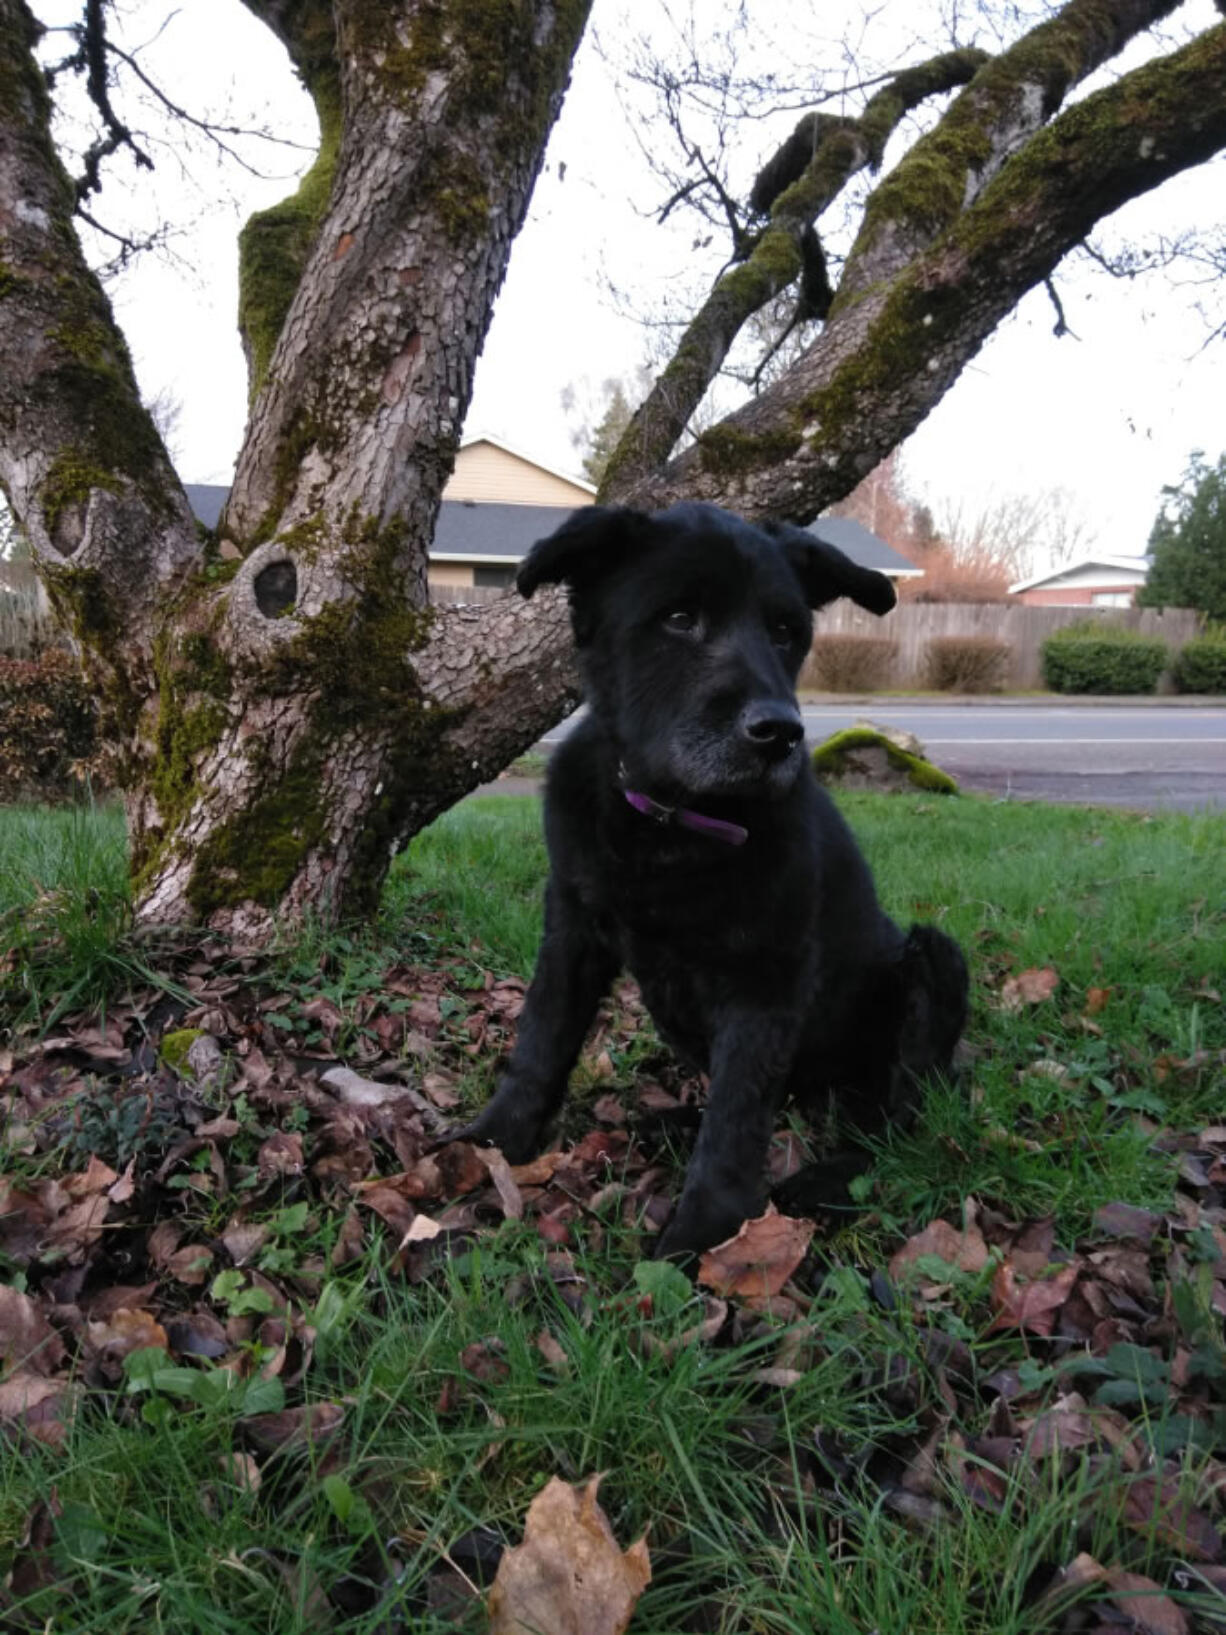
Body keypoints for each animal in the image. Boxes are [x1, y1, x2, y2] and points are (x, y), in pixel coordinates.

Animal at [460, 503, 967, 1255]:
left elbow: (737, 1115)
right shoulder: (573, 926)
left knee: (892, 1122)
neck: (672, 826)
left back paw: (822, 1177)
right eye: (679, 618)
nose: (778, 733)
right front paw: (492, 1143)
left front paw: (702, 1232)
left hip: (934, 960)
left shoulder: (767, 977)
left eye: (786, 631)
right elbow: (540, 1039)